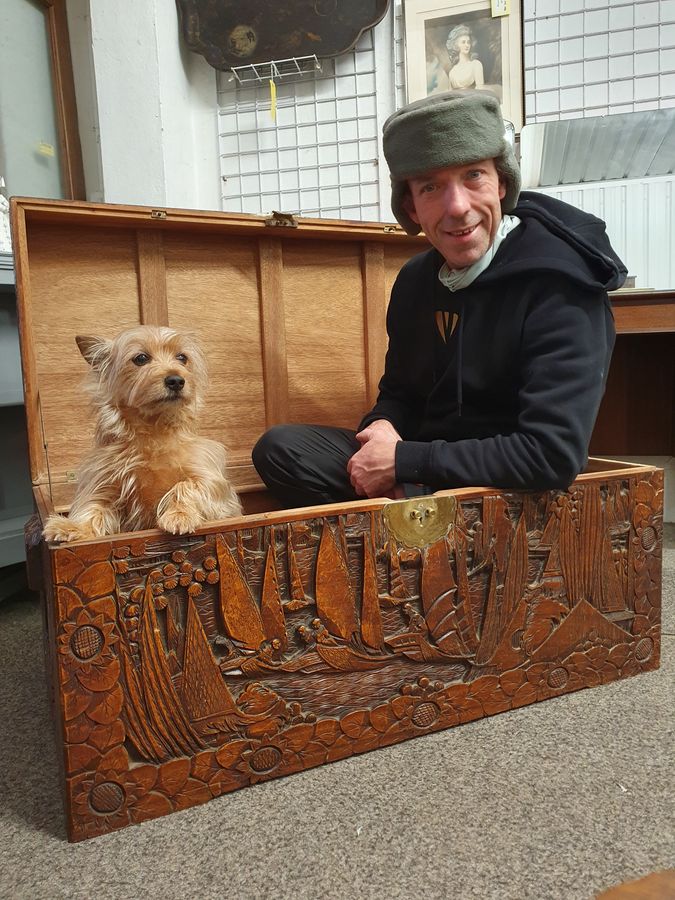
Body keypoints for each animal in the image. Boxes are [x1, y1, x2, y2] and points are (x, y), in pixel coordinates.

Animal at [43, 326, 243, 540]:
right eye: (141, 358)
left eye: (182, 357)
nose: (176, 380)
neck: (153, 430)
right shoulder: (104, 482)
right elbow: (93, 507)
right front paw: (73, 527)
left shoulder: (212, 481)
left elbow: (187, 485)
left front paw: (179, 515)